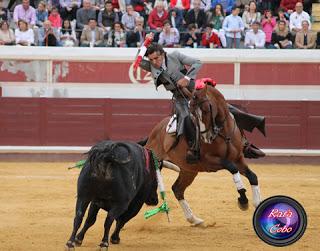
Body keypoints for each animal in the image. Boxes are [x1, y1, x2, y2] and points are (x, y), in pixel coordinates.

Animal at [145, 84, 262, 226]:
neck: (223, 133)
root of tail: (154, 132)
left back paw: (194, 219)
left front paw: (257, 202)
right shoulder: (210, 161)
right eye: (192, 112)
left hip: (189, 170)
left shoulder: (238, 158)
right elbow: (232, 167)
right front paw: (243, 200)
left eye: (206, 109)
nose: (206, 137)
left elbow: (253, 176)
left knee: (177, 189)